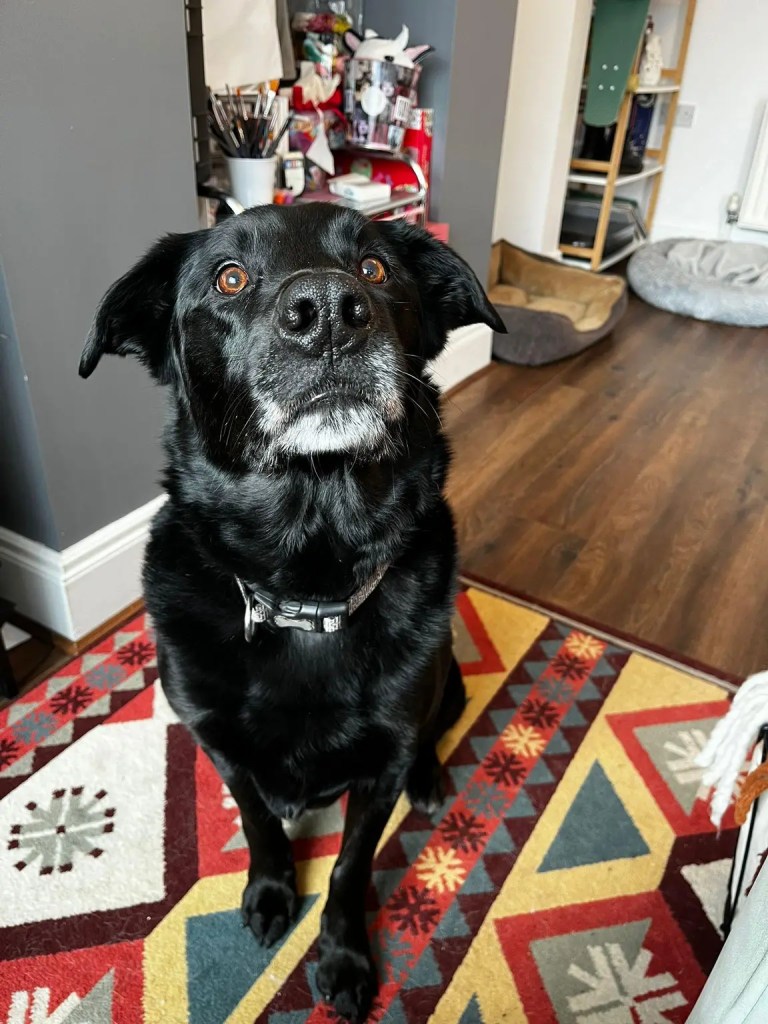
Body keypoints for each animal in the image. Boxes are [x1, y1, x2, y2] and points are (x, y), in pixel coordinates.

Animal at [80, 204, 504, 1021]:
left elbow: (349, 868)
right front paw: (272, 891)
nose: (330, 314)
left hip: (447, 677)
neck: (309, 585)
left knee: (433, 727)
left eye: (374, 268)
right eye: (229, 278)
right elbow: (257, 822)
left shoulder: (377, 770)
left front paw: (342, 958)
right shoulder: (216, 741)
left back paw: (430, 779)